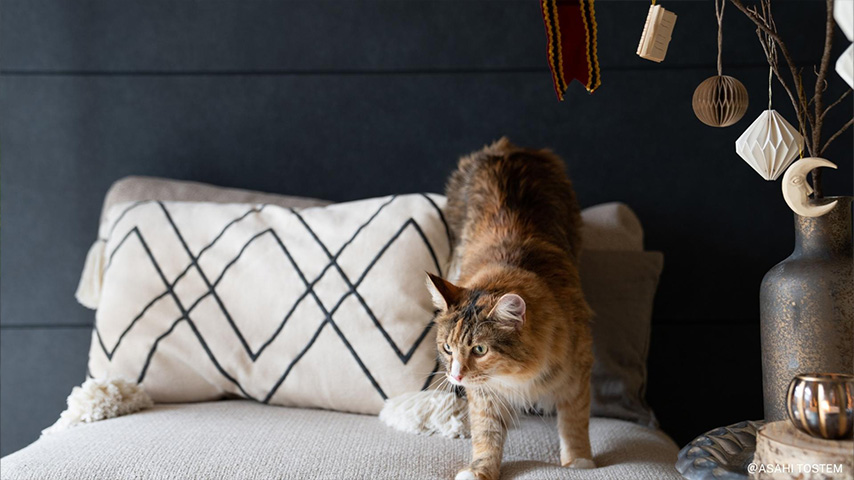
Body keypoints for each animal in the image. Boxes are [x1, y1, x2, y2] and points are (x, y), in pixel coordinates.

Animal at [426, 138, 595, 480]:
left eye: (479, 349)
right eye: (448, 348)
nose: (457, 375)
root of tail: (508, 147)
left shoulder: (578, 373)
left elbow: (574, 421)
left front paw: (579, 462)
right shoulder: (484, 394)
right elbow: (486, 433)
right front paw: (480, 469)